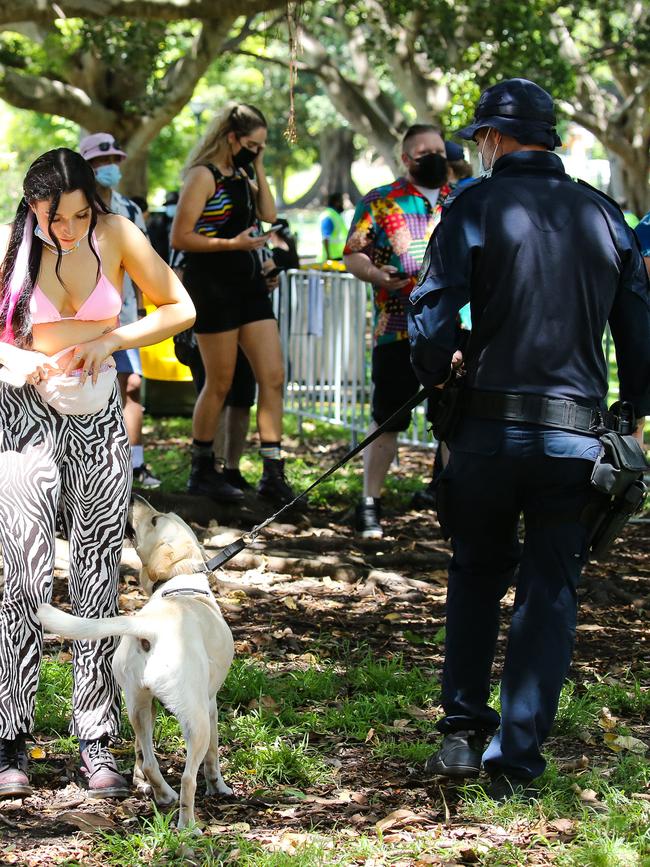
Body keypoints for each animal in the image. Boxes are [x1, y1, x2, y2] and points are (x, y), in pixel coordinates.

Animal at [37, 496, 233, 828]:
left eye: (154, 520)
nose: (135, 497)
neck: (181, 580)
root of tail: (150, 627)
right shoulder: (211, 705)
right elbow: (213, 757)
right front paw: (218, 786)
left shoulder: (150, 705)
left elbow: (143, 757)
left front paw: (141, 783)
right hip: (195, 719)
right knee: (188, 777)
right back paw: (187, 825)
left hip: (137, 706)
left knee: (150, 761)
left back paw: (162, 794)